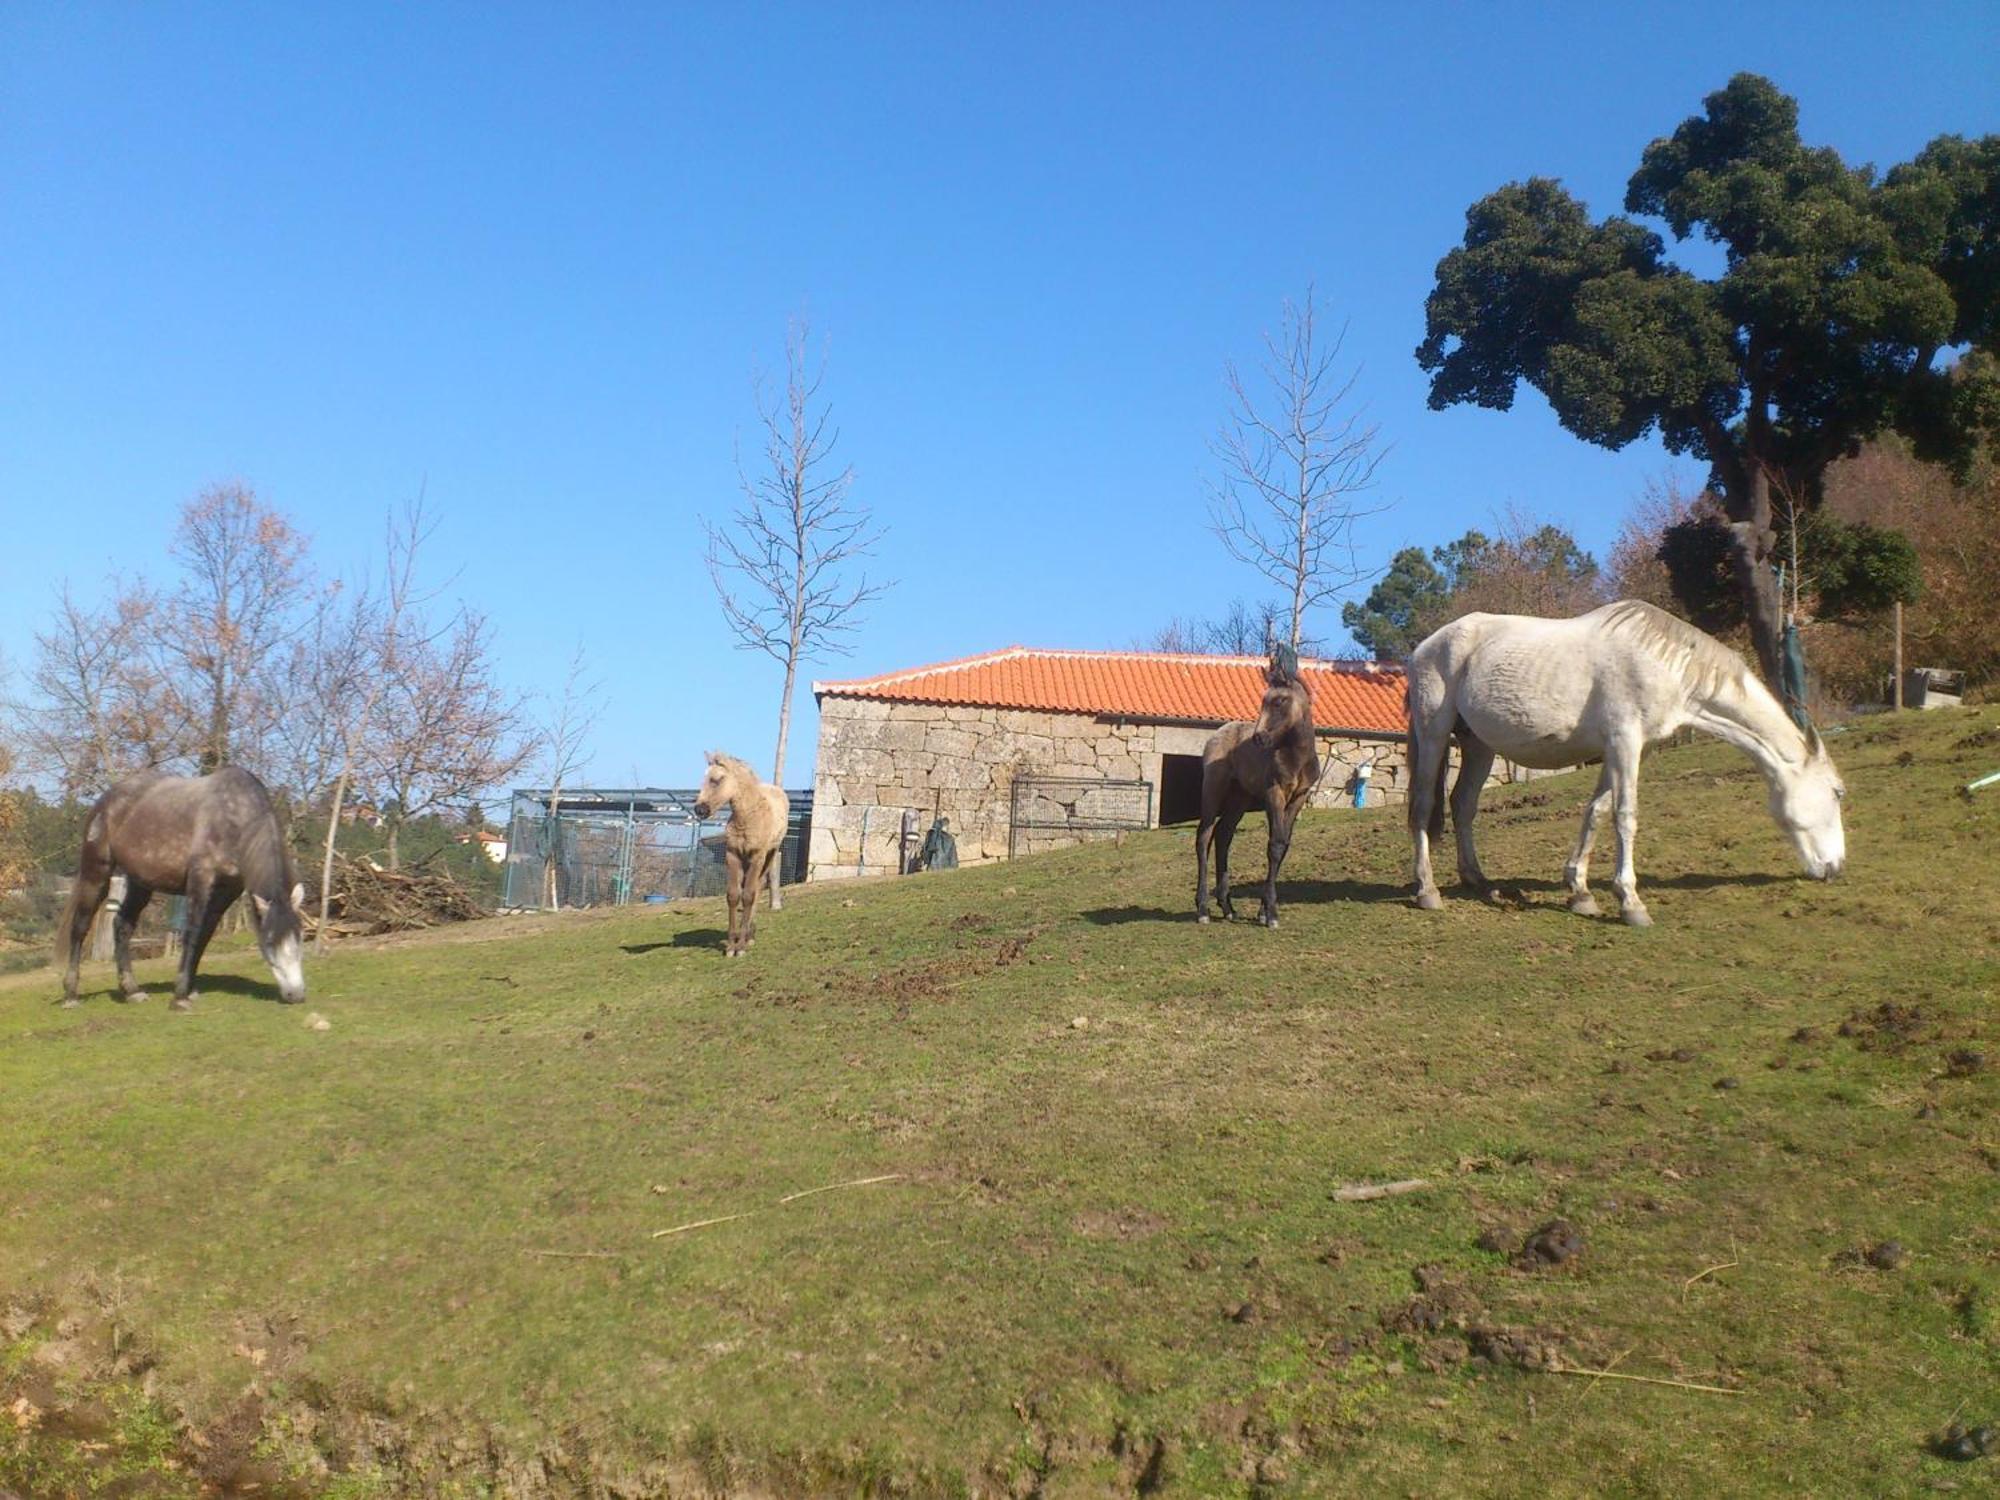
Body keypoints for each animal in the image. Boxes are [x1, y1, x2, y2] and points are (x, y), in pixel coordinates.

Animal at [1408, 600, 1840, 928]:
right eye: (1838, 792)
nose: (1835, 867)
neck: (1664, 664)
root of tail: (1425, 647)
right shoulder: (1624, 742)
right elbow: (1625, 816)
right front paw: (1631, 903)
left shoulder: (1627, 750)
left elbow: (1597, 812)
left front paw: (1580, 892)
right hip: (1433, 735)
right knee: (1424, 806)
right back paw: (1428, 891)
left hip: (1479, 746)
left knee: (1463, 804)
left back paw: (1479, 881)